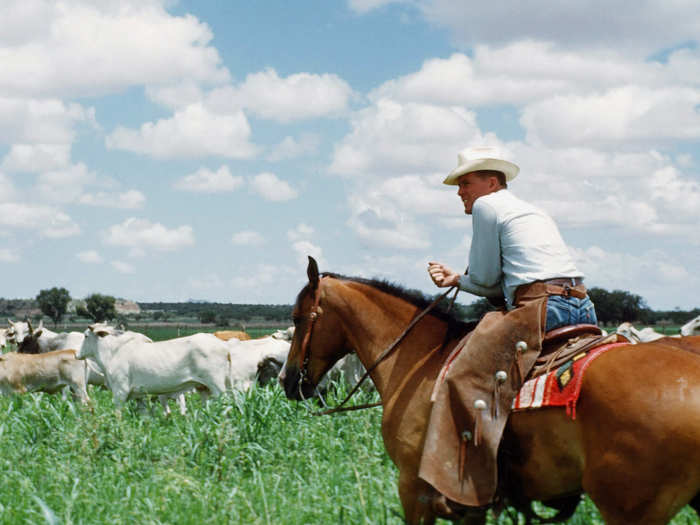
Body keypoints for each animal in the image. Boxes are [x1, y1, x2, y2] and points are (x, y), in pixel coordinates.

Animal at [280, 258, 700, 524]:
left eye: (298, 318)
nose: (287, 380)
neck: (421, 359)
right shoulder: (468, 503)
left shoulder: (414, 488)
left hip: (629, 508)